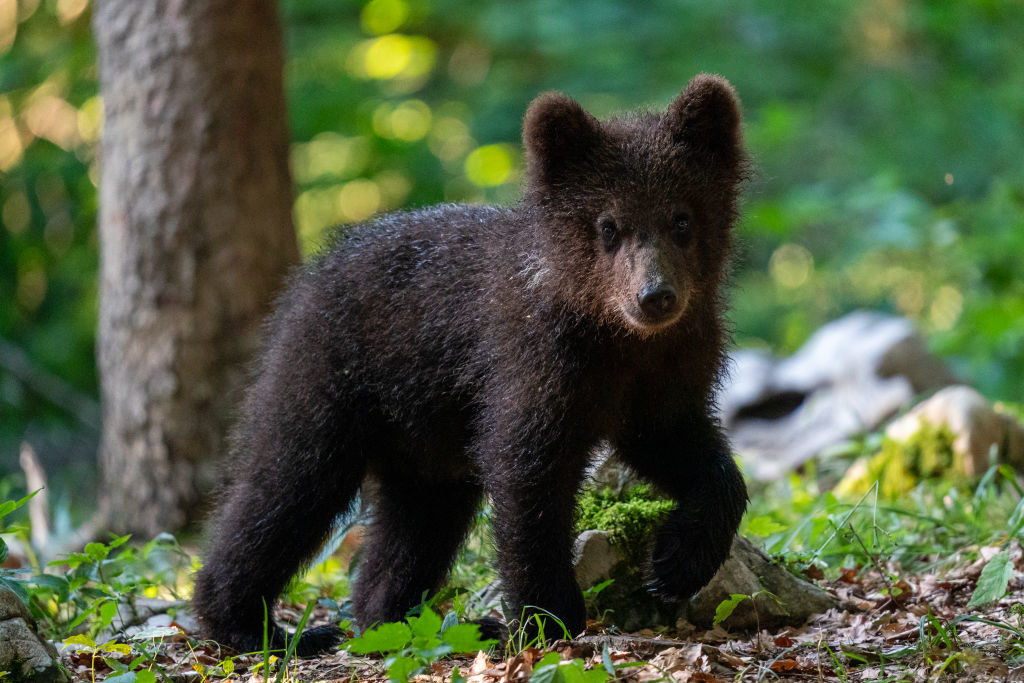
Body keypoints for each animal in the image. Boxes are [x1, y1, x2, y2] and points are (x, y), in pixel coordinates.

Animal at [193, 74, 753, 655]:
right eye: (609, 225)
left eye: (682, 219)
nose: (655, 296)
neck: (618, 340)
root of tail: (309, 276)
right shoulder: (535, 363)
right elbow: (529, 477)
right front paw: (549, 615)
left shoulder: (667, 371)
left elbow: (687, 449)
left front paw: (675, 562)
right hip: (329, 379)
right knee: (285, 488)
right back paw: (254, 624)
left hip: (426, 440)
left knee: (418, 525)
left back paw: (396, 620)